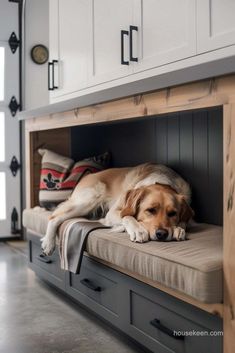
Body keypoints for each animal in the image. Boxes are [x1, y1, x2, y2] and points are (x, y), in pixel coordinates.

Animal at [41, 164, 194, 254]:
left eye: (172, 213)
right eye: (150, 210)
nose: (161, 234)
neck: (161, 179)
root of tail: (88, 175)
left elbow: (184, 222)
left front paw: (178, 229)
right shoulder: (113, 213)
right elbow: (127, 216)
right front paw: (138, 230)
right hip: (88, 199)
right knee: (54, 217)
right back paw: (48, 243)